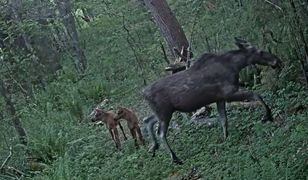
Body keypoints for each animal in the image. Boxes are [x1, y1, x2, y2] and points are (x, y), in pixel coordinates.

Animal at [143, 37, 282, 164]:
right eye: (260, 51)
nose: (277, 60)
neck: (236, 66)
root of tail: (143, 93)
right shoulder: (229, 93)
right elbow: (256, 95)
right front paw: (267, 115)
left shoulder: (220, 99)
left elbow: (223, 120)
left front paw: (225, 139)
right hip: (165, 113)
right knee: (161, 133)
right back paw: (175, 158)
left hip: (164, 112)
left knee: (148, 120)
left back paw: (154, 147)